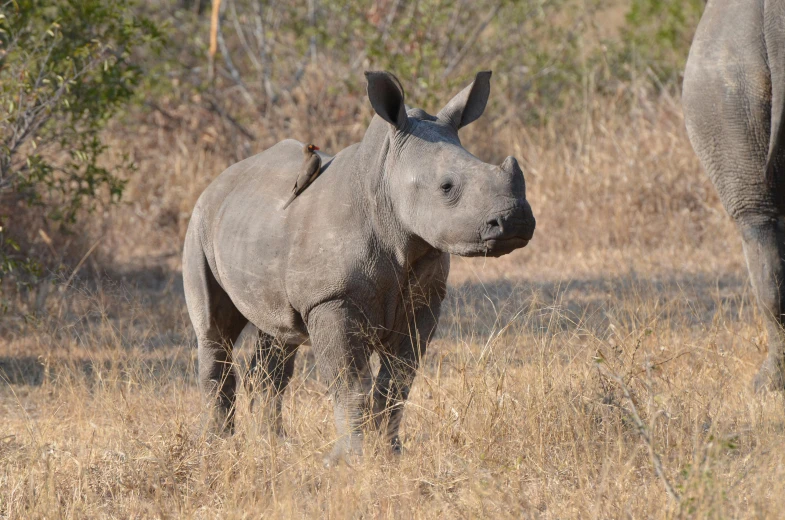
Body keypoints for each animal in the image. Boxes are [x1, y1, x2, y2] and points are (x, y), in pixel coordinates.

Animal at [184, 70, 532, 464]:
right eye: (447, 187)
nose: (515, 220)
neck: (385, 183)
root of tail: (220, 178)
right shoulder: (330, 298)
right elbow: (348, 381)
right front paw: (348, 461)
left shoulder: (425, 300)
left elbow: (398, 381)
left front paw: (391, 454)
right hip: (200, 220)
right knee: (215, 332)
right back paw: (217, 445)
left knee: (278, 335)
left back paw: (273, 445)